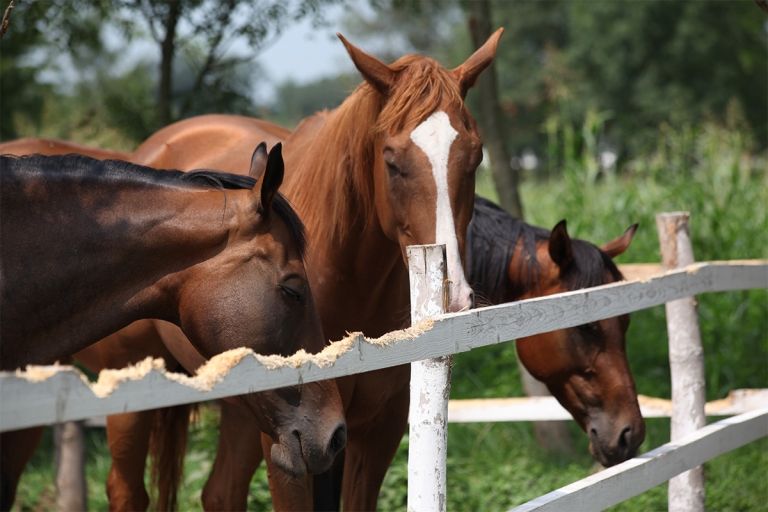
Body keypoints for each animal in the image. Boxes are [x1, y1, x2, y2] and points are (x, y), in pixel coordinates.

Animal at [127, 33, 508, 512]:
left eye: (475, 157)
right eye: (391, 160)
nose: (452, 295)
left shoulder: (373, 434)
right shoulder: (293, 447)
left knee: (221, 491)